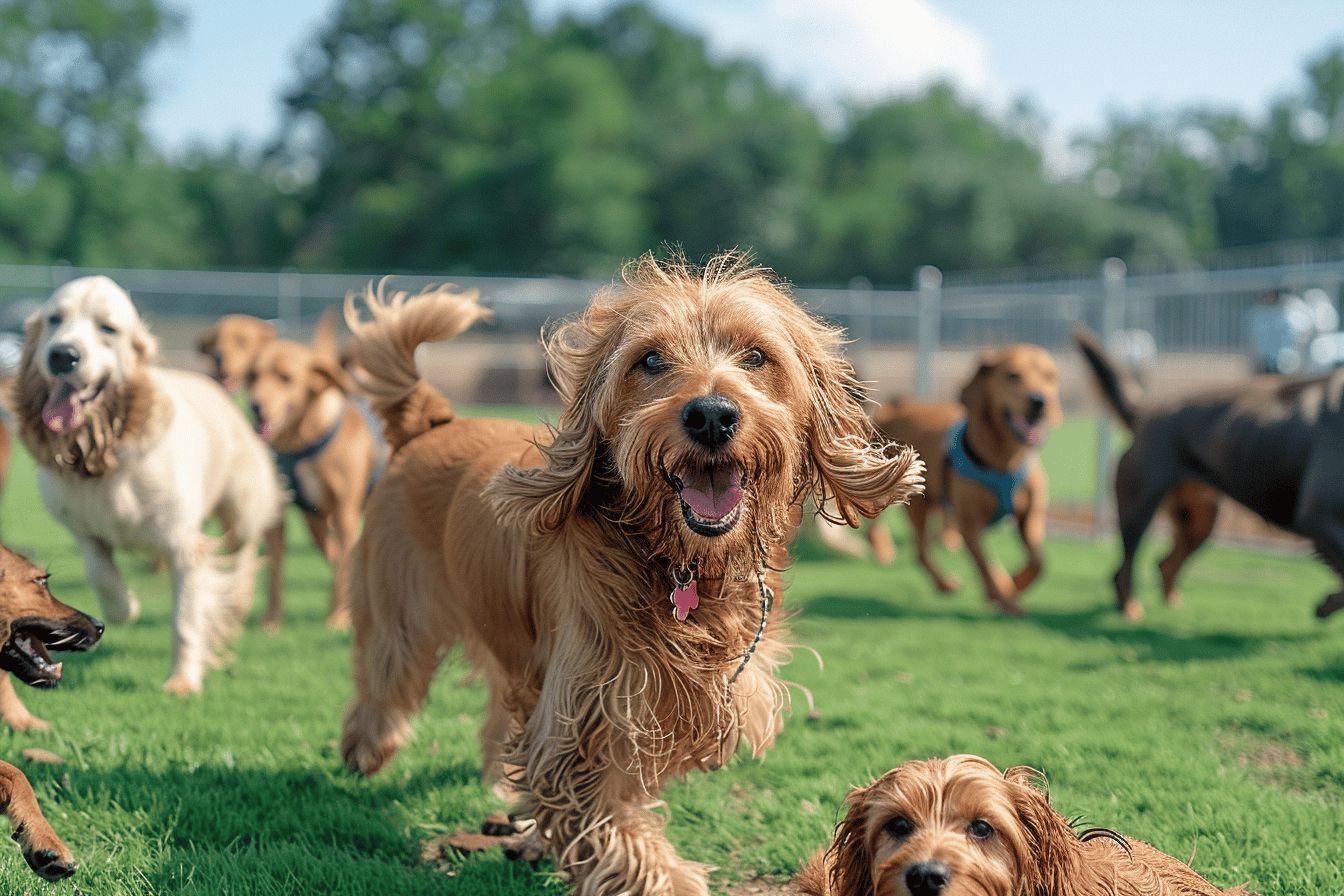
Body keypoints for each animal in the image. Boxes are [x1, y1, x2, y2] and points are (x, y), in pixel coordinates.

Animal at [860, 346, 1059, 617]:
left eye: (1050, 376)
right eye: (1013, 375)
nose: (1039, 402)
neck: (1004, 460)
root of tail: (897, 405)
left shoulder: (1029, 514)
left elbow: (1039, 562)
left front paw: (1013, 585)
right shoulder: (969, 525)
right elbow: (986, 565)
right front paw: (1005, 598)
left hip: (931, 501)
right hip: (905, 498)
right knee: (914, 547)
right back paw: (893, 555)